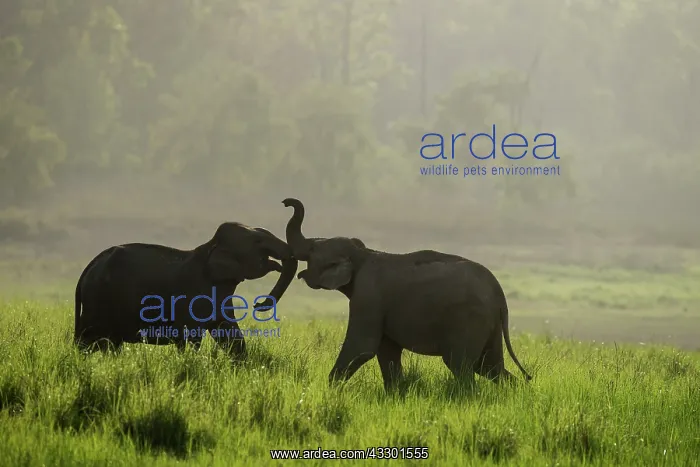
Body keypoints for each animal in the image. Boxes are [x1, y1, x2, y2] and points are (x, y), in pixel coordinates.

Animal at [74, 222, 297, 360]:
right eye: (258, 242)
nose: (258, 305)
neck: (211, 246)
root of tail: (88, 269)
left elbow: (228, 332)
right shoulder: (195, 294)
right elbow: (191, 337)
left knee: (109, 344)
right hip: (98, 301)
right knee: (90, 340)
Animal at [282, 197, 531, 390]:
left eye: (313, 249)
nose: (285, 202)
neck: (362, 253)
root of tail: (499, 294)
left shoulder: (368, 296)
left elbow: (362, 347)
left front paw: (331, 390)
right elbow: (387, 351)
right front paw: (395, 394)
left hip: (469, 320)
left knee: (462, 365)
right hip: (490, 325)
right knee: (489, 366)